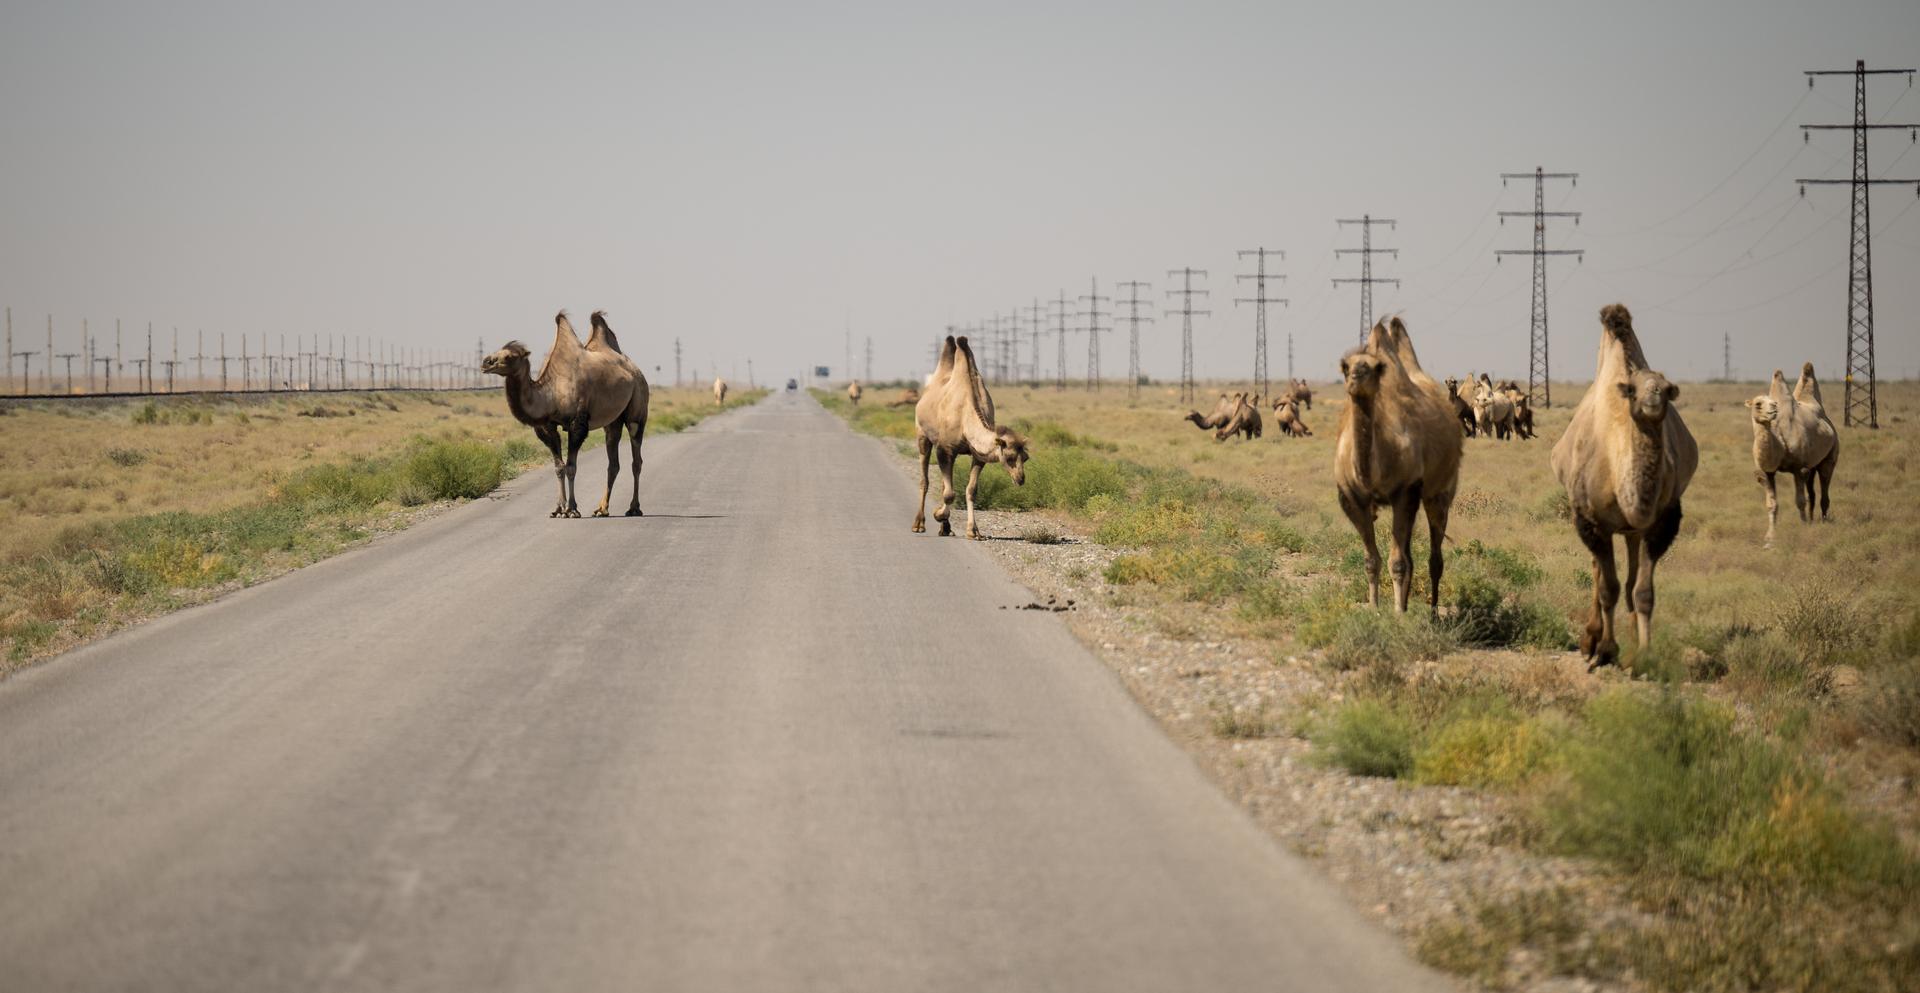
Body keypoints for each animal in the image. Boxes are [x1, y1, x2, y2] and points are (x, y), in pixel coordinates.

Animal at [482, 310, 650, 518]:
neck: (551, 392)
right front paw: (558, 509)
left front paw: (572, 509)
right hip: (613, 421)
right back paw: (602, 509)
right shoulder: (547, 426)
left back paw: (634, 508)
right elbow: (558, 467)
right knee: (613, 463)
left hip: (638, 406)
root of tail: (636, 371)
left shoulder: (577, 424)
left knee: (636, 459)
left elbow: (571, 467)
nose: (486, 362)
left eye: (510, 355)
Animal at [913, 335, 1031, 538]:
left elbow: (971, 490)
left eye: (1026, 458)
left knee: (944, 485)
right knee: (924, 480)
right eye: (1009, 457)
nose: (1020, 479)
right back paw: (919, 524)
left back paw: (946, 529)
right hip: (922, 435)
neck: (966, 416)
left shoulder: (978, 455)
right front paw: (938, 514)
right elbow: (949, 493)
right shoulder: (945, 449)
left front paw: (973, 531)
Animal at [1335, 317, 1463, 612]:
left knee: (1434, 557)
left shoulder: (1405, 491)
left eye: (1377, 367)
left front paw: (1396, 614)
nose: (1356, 376)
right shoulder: (1352, 499)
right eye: (1345, 365)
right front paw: (1375, 609)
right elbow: (1372, 560)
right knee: (1411, 555)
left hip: (1439, 494)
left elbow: (1397, 562)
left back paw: (1433, 613)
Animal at [1550, 304, 1697, 671]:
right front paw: (1604, 650)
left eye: (1666, 387)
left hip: (1632, 531)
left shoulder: (1662, 522)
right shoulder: (1591, 521)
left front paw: (1643, 655)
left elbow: (1642, 592)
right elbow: (1609, 588)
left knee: (1629, 576)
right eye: (1633, 389)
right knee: (1599, 573)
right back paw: (1589, 639)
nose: (1653, 397)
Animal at [1744, 362, 1839, 544]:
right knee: (1812, 493)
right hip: (1813, 464)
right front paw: (1769, 538)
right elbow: (1772, 504)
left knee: (1824, 490)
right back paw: (1812, 520)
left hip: (1830, 457)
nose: (1773, 410)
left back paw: (1823, 522)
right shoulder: (1767, 472)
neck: (1780, 442)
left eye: (1773, 402)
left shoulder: (1799, 468)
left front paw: (1802, 528)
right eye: (1758, 404)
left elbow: (1800, 501)